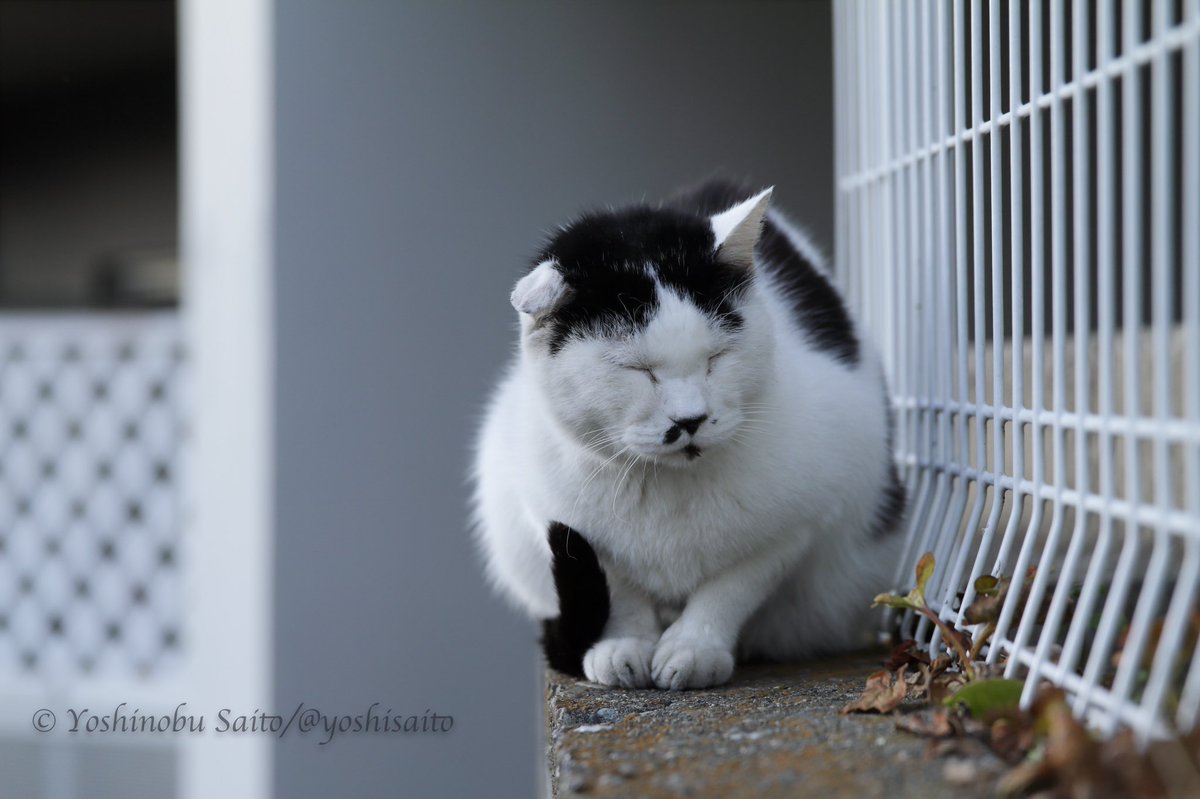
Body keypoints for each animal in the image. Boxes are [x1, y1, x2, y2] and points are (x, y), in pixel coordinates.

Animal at [468, 178, 902, 686]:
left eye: (716, 358)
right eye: (638, 370)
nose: (690, 419)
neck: (664, 487)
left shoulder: (796, 526)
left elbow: (731, 586)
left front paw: (695, 648)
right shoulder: (559, 520)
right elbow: (620, 592)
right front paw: (623, 647)